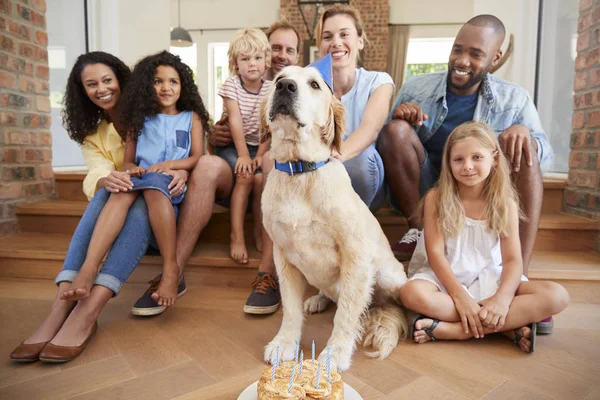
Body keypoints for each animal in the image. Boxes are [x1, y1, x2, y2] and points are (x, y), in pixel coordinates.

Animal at [260, 66, 410, 372]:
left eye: (315, 85)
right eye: (279, 77)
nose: (285, 87)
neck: (299, 172)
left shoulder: (355, 255)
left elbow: (347, 313)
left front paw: (336, 352)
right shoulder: (283, 256)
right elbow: (290, 309)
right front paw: (285, 343)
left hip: (389, 276)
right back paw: (318, 299)